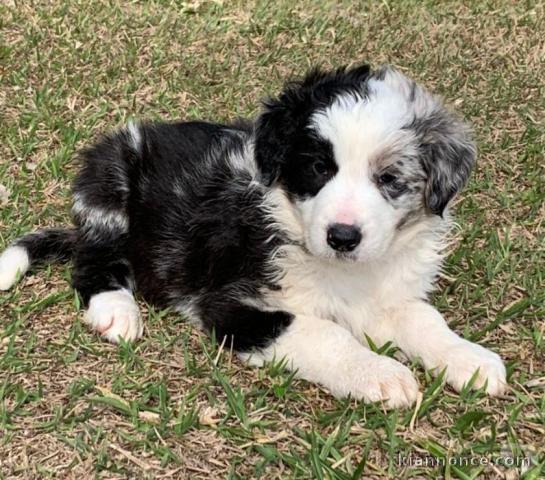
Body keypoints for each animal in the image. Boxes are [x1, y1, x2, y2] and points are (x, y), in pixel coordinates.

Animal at [0, 65, 506, 406]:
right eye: (318, 168)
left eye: (389, 178)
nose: (342, 237)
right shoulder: (231, 304)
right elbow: (324, 333)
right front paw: (380, 373)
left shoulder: (388, 292)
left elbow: (424, 320)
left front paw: (469, 358)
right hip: (109, 181)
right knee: (94, 260)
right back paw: (116, 310)